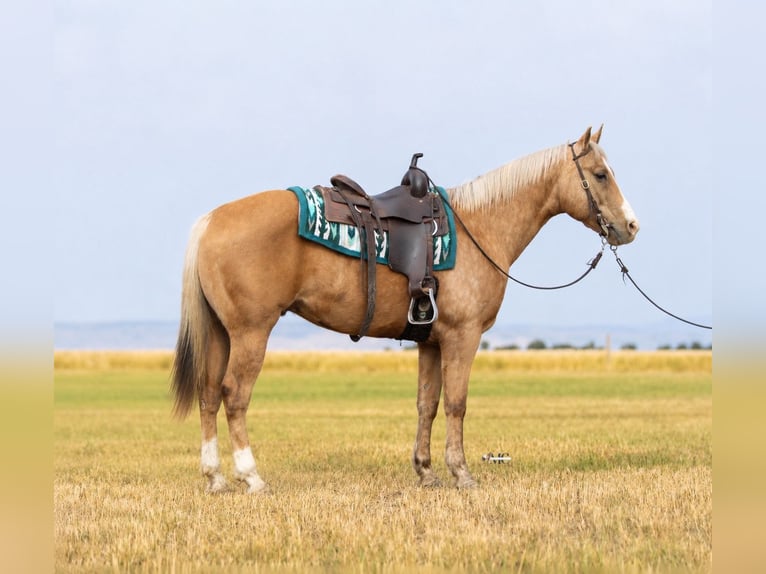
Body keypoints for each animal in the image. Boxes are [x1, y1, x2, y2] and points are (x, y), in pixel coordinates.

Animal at [170, 125, 639, 493]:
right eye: (600, 175)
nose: (631, 226)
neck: (479, 226)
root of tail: (211, 220)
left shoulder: (430, 341)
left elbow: (426, 404)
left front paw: (426, 472)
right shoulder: (462, 337)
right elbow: (456, 403)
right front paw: (461, 473)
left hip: (221, 333)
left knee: (209, 394)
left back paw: (214, 477)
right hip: (251, 332)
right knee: (234, 395)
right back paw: (251, 476)